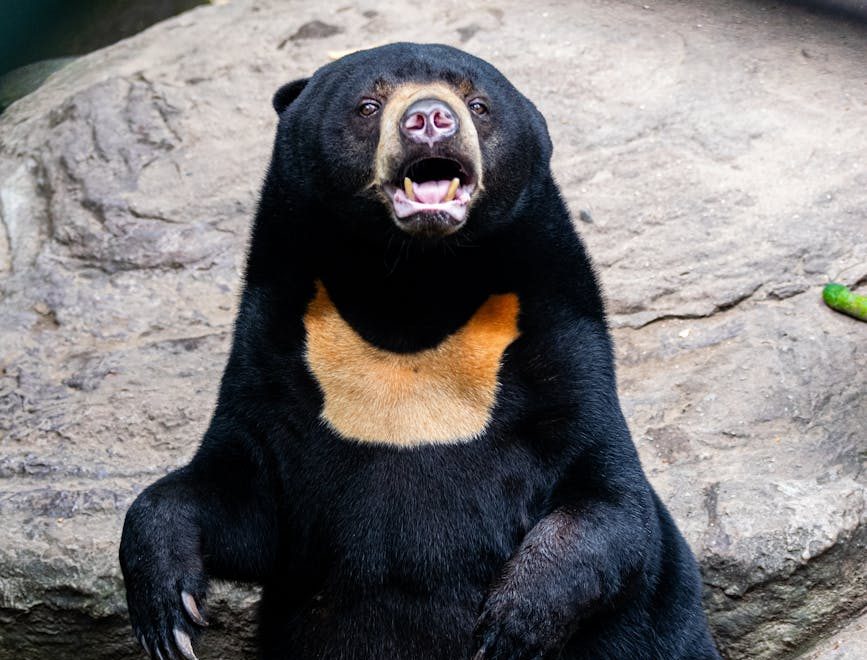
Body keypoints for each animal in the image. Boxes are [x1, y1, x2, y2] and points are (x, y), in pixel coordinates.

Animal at [119, 42, 721, 660]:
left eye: (478, 103)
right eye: (368, 104)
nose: (431, 118)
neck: (413, 292)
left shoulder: (564, 354)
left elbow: (610, 502)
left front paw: (510, 625)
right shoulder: (275, 358)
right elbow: (238, 494)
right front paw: (168, 618)